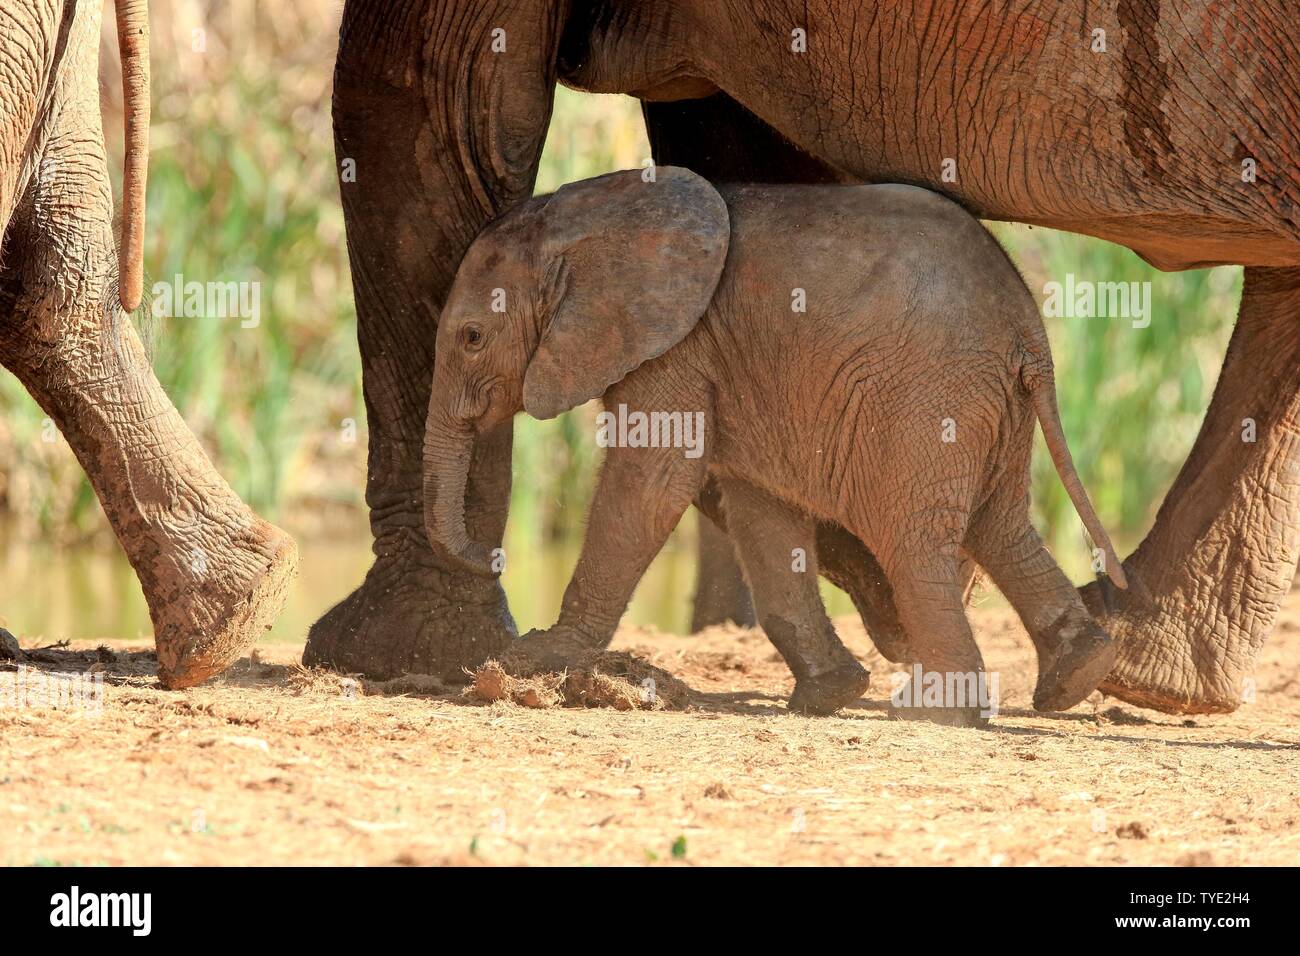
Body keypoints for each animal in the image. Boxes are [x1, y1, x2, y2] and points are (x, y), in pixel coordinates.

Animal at [426, 170, 1128, 723]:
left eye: (471, 338)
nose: (490, 557)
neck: (593, 212)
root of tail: (1028, 331)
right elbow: (759, 508)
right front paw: (829, 695)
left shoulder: (675, 342)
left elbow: (654, 480)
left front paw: (535, 658)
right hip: (994, 403)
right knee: (1001, 524)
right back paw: (1076, 676)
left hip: (933, 398)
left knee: (916, 539)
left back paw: (940, 714)